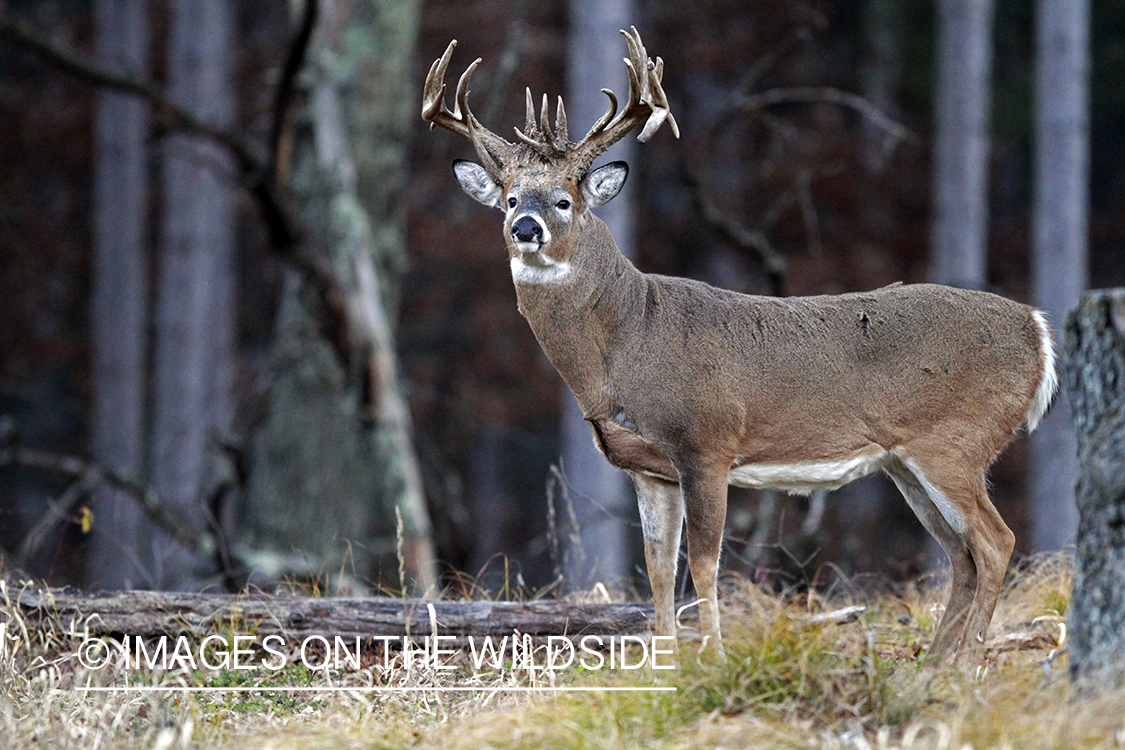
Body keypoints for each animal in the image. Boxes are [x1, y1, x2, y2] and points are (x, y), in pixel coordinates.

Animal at [420, 26, 1053, 661]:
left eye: (563, 200)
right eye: (509, 198)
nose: (525, 228)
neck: (628, 341)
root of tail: (1037, 329)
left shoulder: (707, 441)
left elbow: (704, 564)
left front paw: (716, 658)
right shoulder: (647, 467)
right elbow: (658, 568)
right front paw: (667, 662)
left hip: (957, 440)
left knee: (995, 541)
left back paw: (966, 663)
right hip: (905, 461)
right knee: (961, 554)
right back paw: (931, 667)